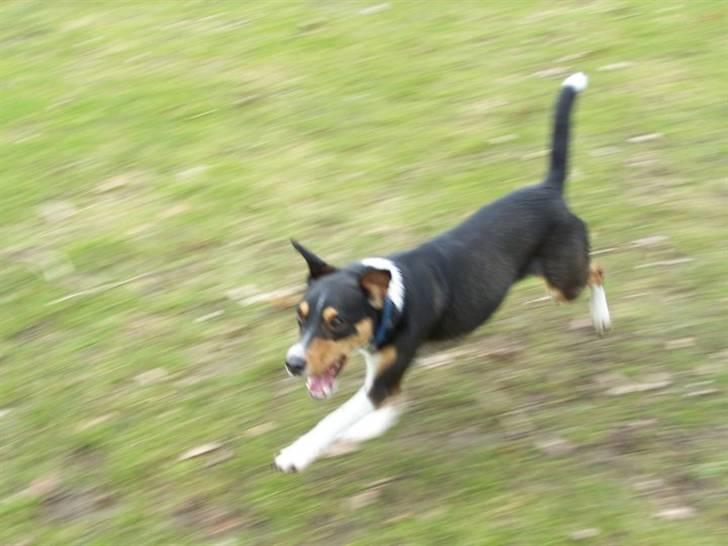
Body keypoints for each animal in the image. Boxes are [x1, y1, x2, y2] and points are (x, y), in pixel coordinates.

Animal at [272, 72, 608, 472]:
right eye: (300, 317)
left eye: (337, 322)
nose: (292, 364)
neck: (391, 307)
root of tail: (548, 189)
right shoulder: (384, 374)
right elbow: (384, 407)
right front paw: (370, 428)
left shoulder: (383, 378)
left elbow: (336, 417)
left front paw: (298, 453)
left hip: (563, 280)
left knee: (597, 269)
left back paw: (601, 316)